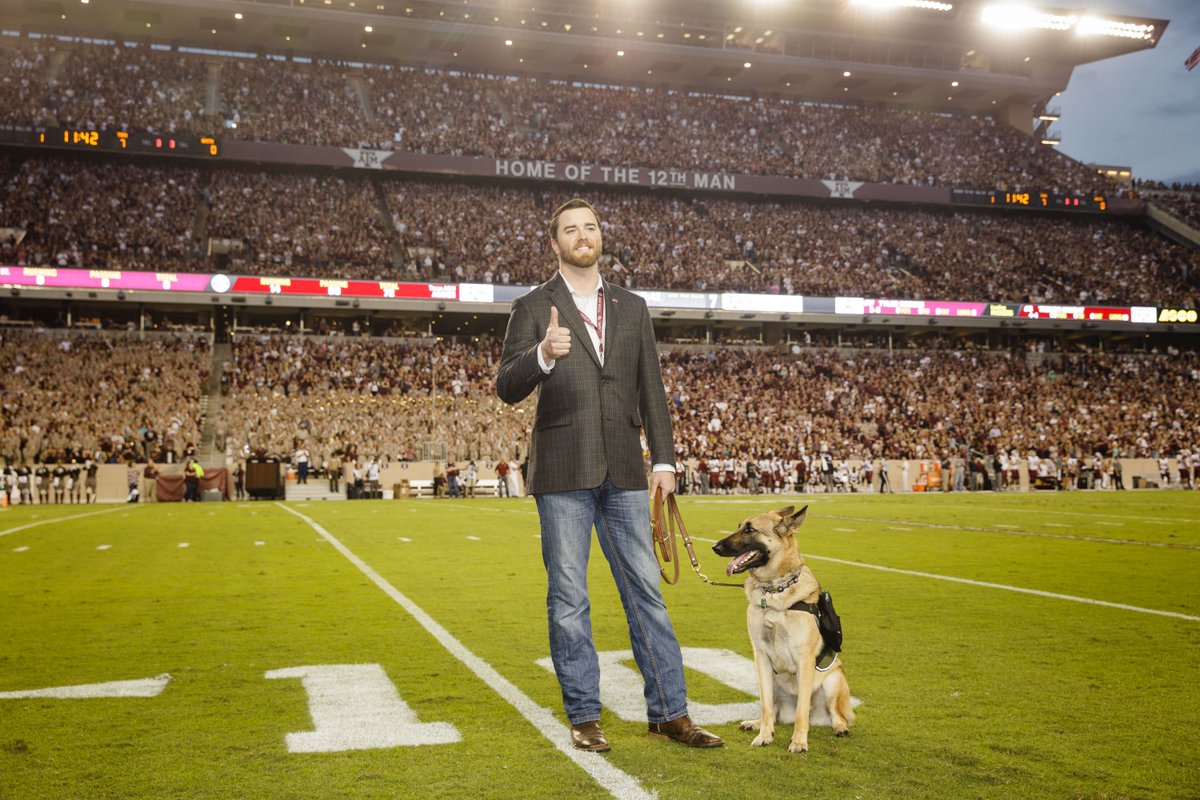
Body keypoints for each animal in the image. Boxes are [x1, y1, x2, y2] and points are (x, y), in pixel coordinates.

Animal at [712, 505, 854, 752]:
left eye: (750, 529)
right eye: (739, 526)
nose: (715, 547)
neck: (773, 591)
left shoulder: (804, 659)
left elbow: (801, 711)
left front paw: (799, 741)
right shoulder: (760, 657)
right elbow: (766, 707)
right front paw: (764, 735)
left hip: (833, 682)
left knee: (836, 713)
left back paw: (839, 727)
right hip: (771, 681)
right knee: (773, 711)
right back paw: (755, 723)